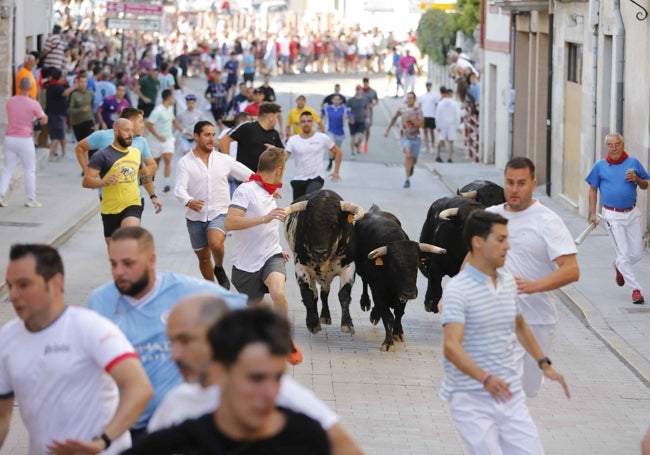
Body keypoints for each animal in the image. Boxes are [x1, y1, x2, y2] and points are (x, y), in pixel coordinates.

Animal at [284, 189, 364, 334]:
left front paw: (347, 324)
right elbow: (308, 295)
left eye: (334, 224)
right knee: (316, 294)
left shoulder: (349, 266)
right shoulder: (301, 267)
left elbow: (344, 294)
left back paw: (325, 316)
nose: (320, 251)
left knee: (324, 293)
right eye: (309, 224)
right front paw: (312, 323)